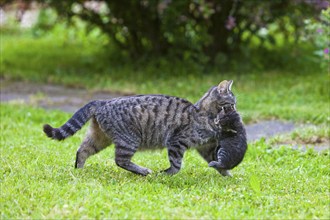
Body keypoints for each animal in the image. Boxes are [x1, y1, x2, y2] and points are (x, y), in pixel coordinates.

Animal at [43, 79, 236, 175]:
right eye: (232, 103)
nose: (236, 109)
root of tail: (103, 101)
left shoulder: (206, 147)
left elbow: (218, 162)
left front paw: (227, 176)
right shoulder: (176, 142)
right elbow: (176, 164)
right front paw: (166, 175)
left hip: (99, 137)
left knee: (82, 151)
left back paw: (80, 172)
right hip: (129, 140)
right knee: (120, 160)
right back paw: (143, 171)